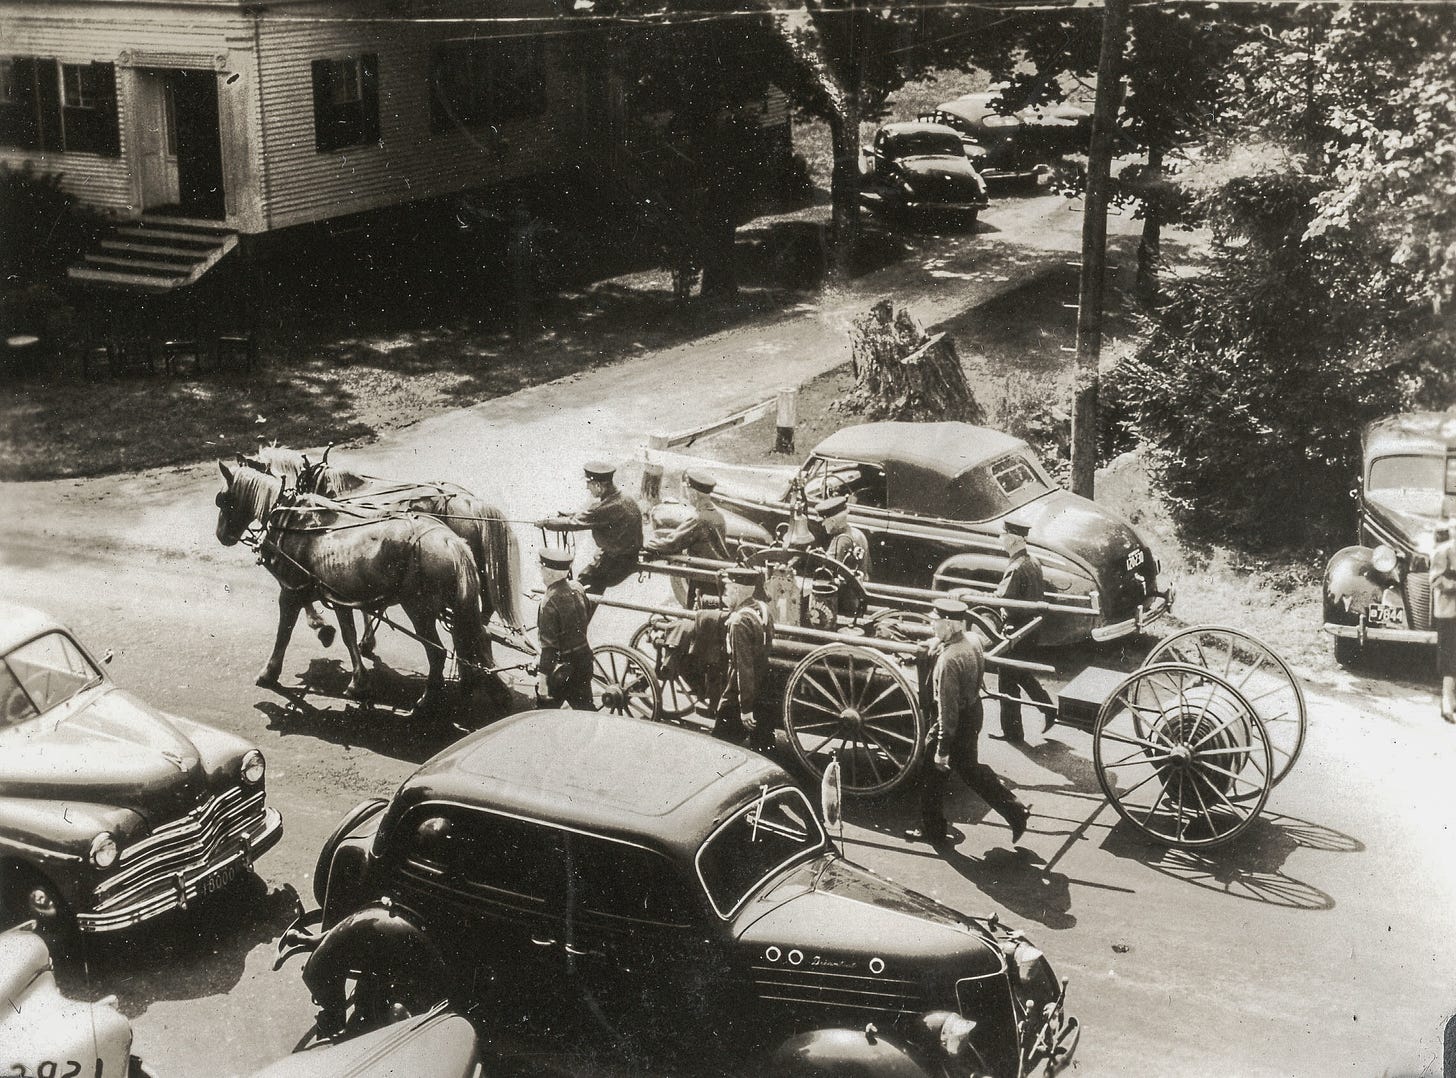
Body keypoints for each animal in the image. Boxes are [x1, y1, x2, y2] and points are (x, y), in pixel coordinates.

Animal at [212, 457, 492, 716]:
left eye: (223, 500)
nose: (221, 535)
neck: (291, 519)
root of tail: (449, 540)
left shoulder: (291, 590)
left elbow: (284, 632)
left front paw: (269, 672)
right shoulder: (338, 597)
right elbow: (348, 636)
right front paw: (358, 680)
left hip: (418, 610)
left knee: (438, 652)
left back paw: (428, 699)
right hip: (452, 605)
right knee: (471, 637)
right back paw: (471, 682)